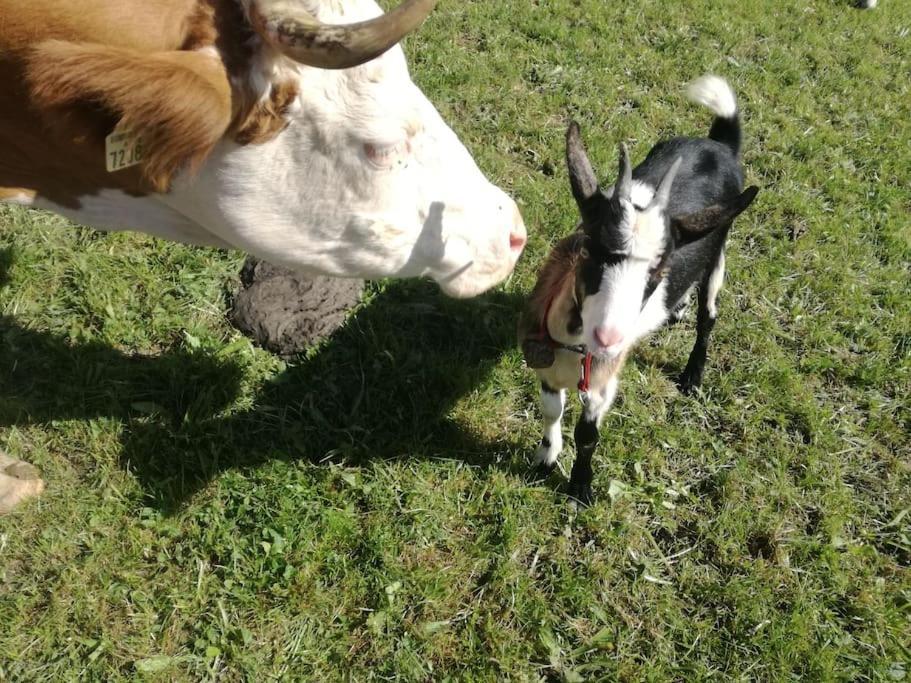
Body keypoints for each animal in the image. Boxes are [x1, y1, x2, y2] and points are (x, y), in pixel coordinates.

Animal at [520, 75, 764, 504]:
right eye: (589, 249)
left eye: (659, 270)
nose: (609, 336)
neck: (576, 350)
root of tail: (719, 144)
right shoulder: (547, 364)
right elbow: (552, 410)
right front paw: (546, 457)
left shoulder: (603, 384)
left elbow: (588, 434)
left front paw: (580, 489)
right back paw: (676, 309)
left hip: (719, 253)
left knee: (709, 315)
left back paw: (692, 376)